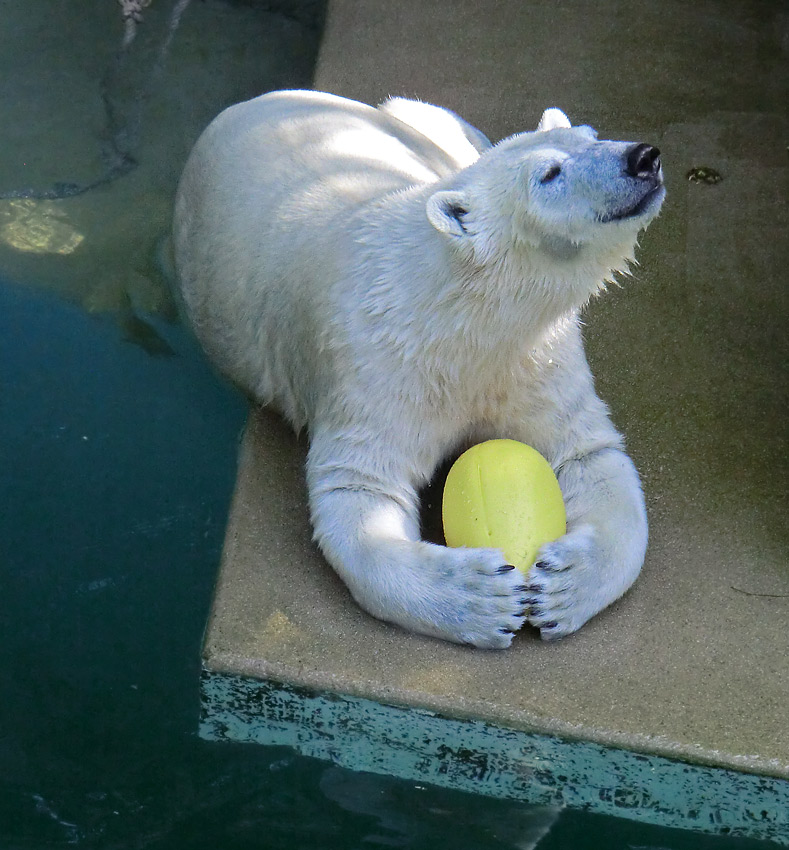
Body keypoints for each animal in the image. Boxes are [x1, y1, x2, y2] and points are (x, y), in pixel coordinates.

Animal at [174, 89, 664, 644]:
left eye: (591, 135)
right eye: (549, 173)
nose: (642, 157)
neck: (458, 315)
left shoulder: (538, 357)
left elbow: (588, 453)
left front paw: (563, 584)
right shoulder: (376, 368)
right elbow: (359, 486)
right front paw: (482, 597)